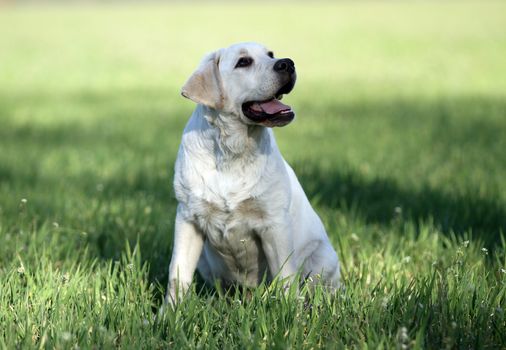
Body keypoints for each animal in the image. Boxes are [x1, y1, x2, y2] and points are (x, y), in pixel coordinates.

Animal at [166, 42, 340, 304]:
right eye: (243, 62)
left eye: (271, 54)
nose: (287, 63)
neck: (232, 152)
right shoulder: (188, 218)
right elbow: (178, 273)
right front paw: (170, 312)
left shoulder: (274, 224)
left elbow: (286, 277)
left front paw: (291, 312)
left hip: (322, 259)